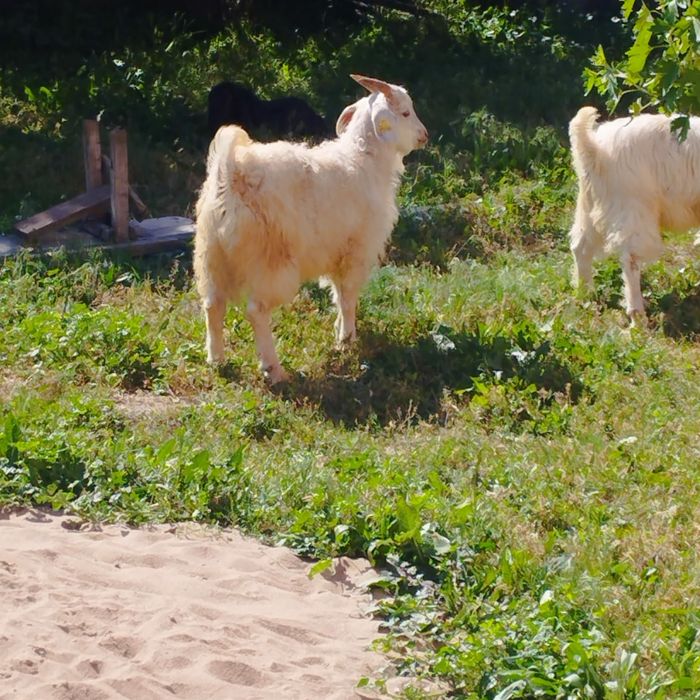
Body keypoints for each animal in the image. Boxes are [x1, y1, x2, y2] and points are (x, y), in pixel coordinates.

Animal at [194, 74, 428, 383]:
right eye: (404, 113)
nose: (424, 135)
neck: (363, 159)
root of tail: (230, 171)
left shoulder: (336, 254)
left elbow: (338, 295)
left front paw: (341, 333)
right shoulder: (357, 250)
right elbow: (348, 296)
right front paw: (347, 341)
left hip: (211, 257)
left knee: (213, 305)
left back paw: (216, 359)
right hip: (269, 263)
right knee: (256, 311)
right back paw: (274, 369)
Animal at [568, 106, 700, 325]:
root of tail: (595, 148)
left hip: (589, 207)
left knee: (580, 247)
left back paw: (585, 295)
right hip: (633, 210)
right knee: (630, 259)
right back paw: (637, 316)